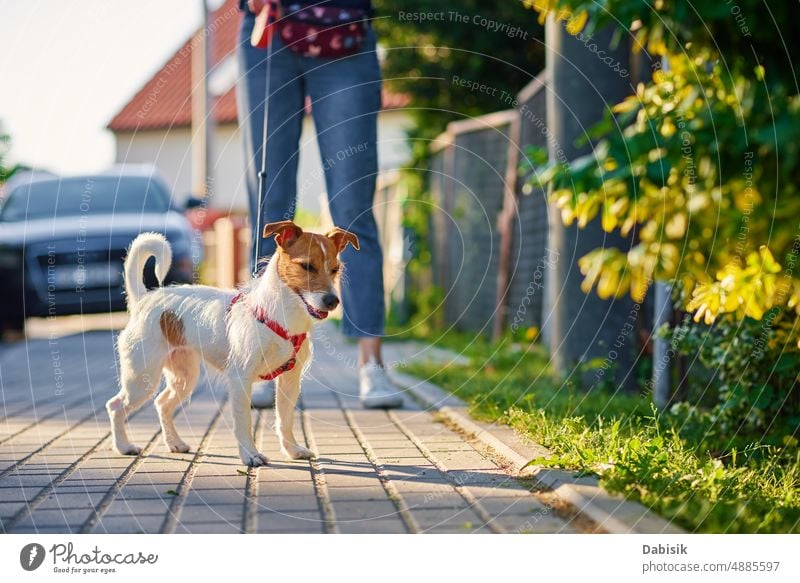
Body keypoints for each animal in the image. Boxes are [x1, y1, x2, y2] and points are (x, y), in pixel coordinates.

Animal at [108, 221, 358, 468]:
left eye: (335, 269)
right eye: (307, 266)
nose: (332, 301)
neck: (280, 315)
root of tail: (144, 299)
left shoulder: (290, 380)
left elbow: (285, 420)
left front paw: (292, 450)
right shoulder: (241, 379)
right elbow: (243, 422)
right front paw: (250, 455)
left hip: (185, 376)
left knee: (162, 403)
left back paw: (175, 443)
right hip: (141, 378)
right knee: (116, 405)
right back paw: (123, 446)